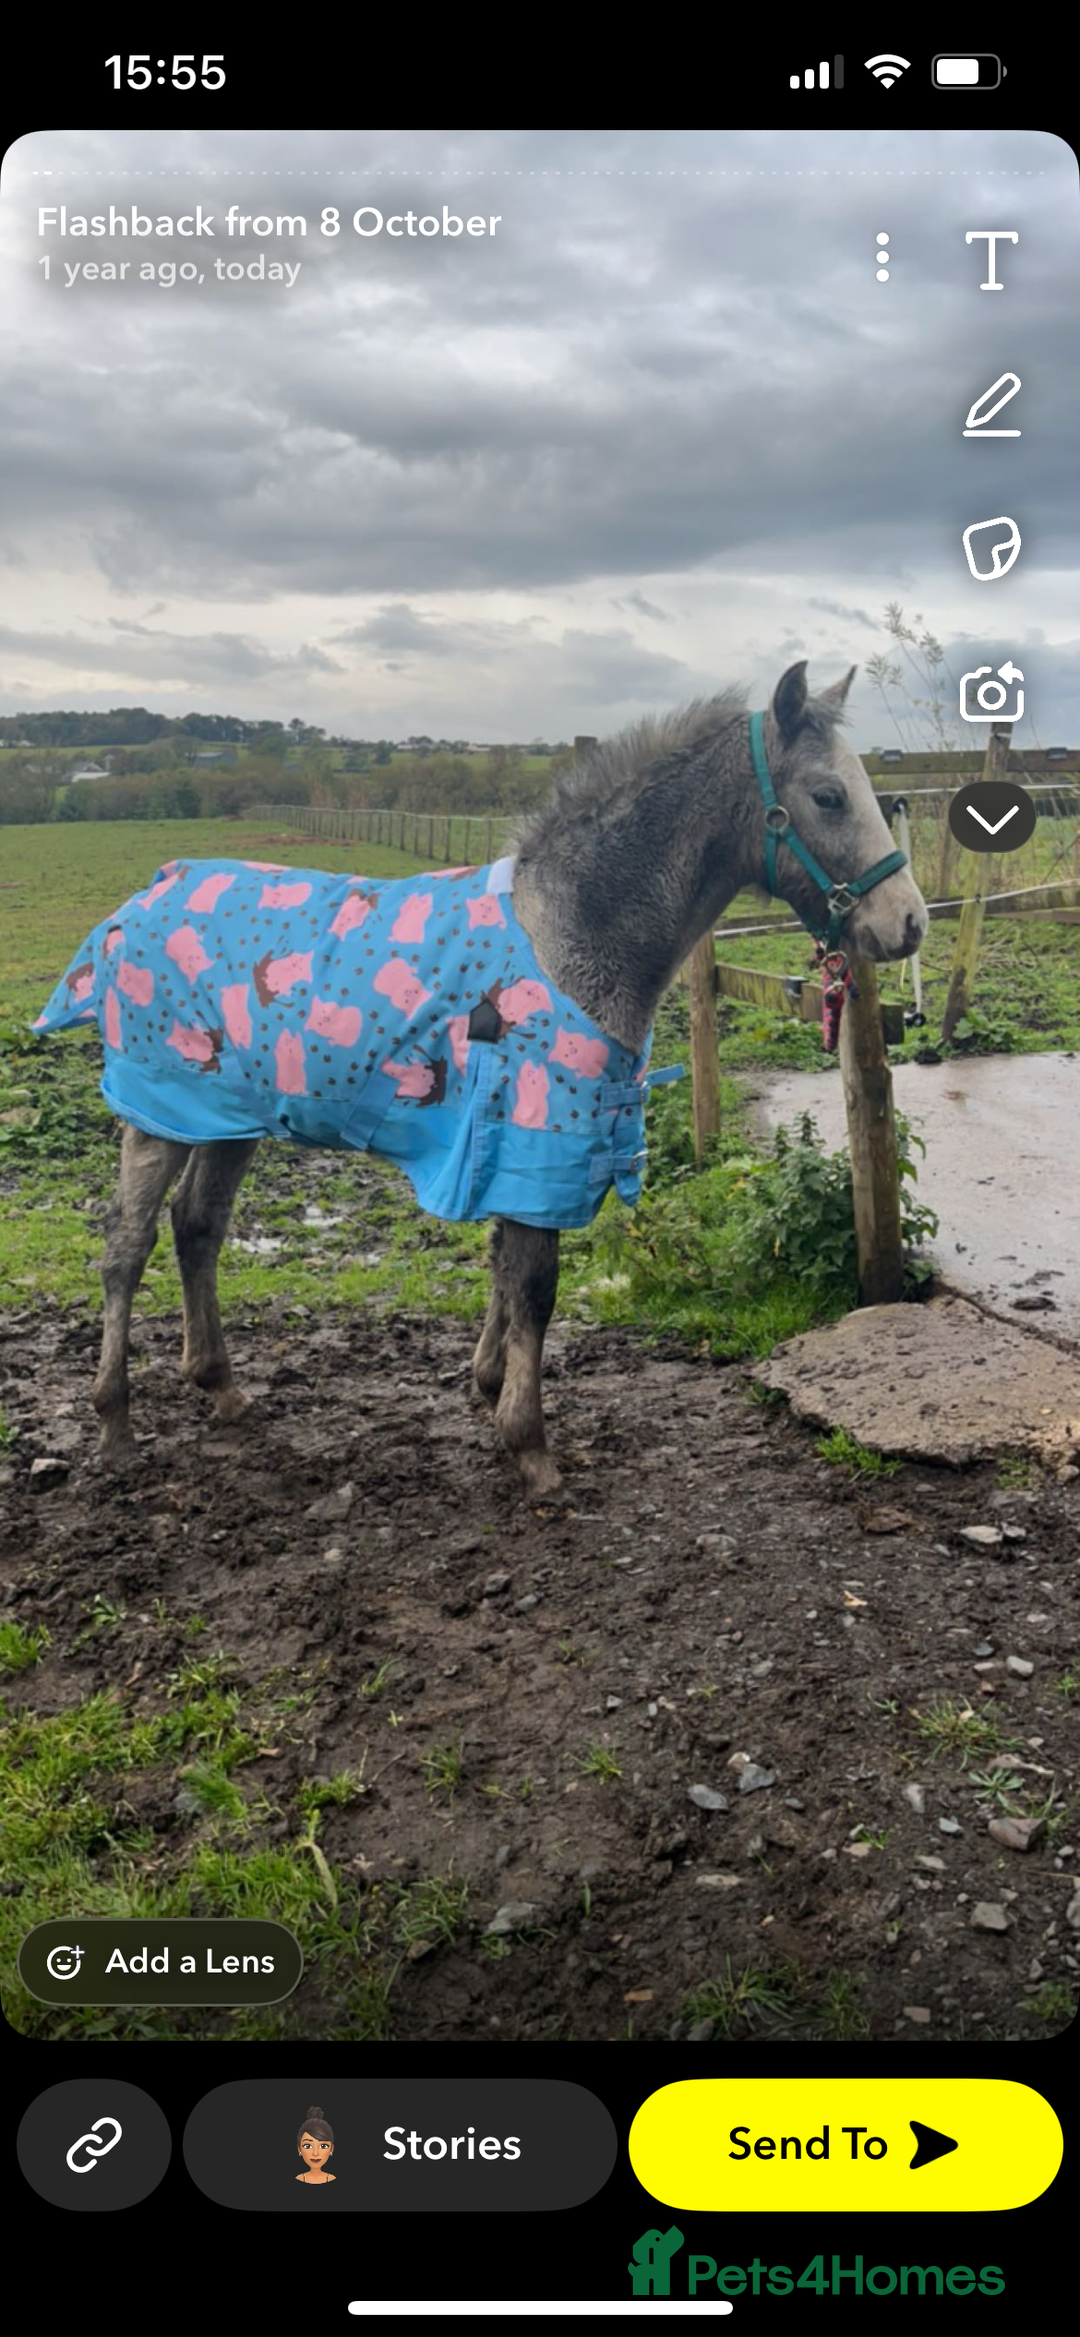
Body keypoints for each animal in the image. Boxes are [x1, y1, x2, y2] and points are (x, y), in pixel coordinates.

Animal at [35, 662, 927, 1497]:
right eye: (827, 796)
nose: (908, 923)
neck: (571, 930)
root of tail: (143, 895)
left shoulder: (512, 1144)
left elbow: (504, 1265)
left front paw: (490, 1384)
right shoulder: (536, 1138)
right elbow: (534, 1283)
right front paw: (530, 1445)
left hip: (227, 1114)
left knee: (196, 1226)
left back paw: (220, 1386)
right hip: (160, 1111)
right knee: (126, 1243)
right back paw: (114, 1422)